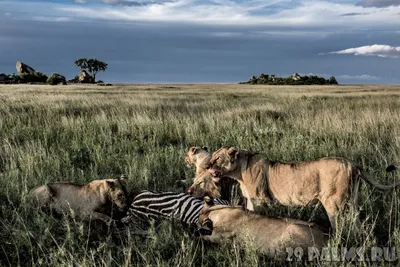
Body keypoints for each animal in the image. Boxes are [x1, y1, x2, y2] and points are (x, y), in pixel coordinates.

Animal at [198, 198, 328, 258]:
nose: (197, 226)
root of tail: (325, 238)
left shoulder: (222, 235)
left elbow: (207, 237)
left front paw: (199, 236)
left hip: (292, 230)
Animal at [206, 148, 400, 231]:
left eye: (217, 158)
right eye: (212, 157)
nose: (207, 166)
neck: (238, 171)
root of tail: (352, 163)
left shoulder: (260, 199)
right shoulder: (251, 201)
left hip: (333, 202)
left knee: (341, 224)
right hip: (351, 200)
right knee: (356, 222)